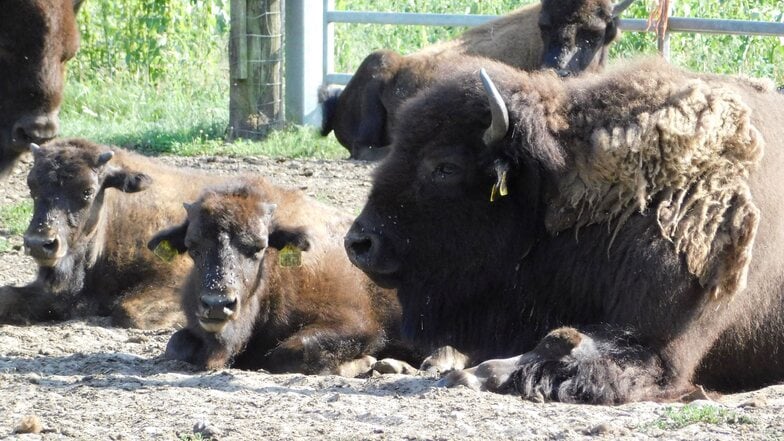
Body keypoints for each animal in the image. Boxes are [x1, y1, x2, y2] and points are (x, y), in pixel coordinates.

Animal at [149, 177, 416, 372]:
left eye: (258, 247)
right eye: (193, 246)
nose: (217, 305)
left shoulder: (356, 324)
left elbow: (290, 351)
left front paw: (363, 363)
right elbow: (176, 345)